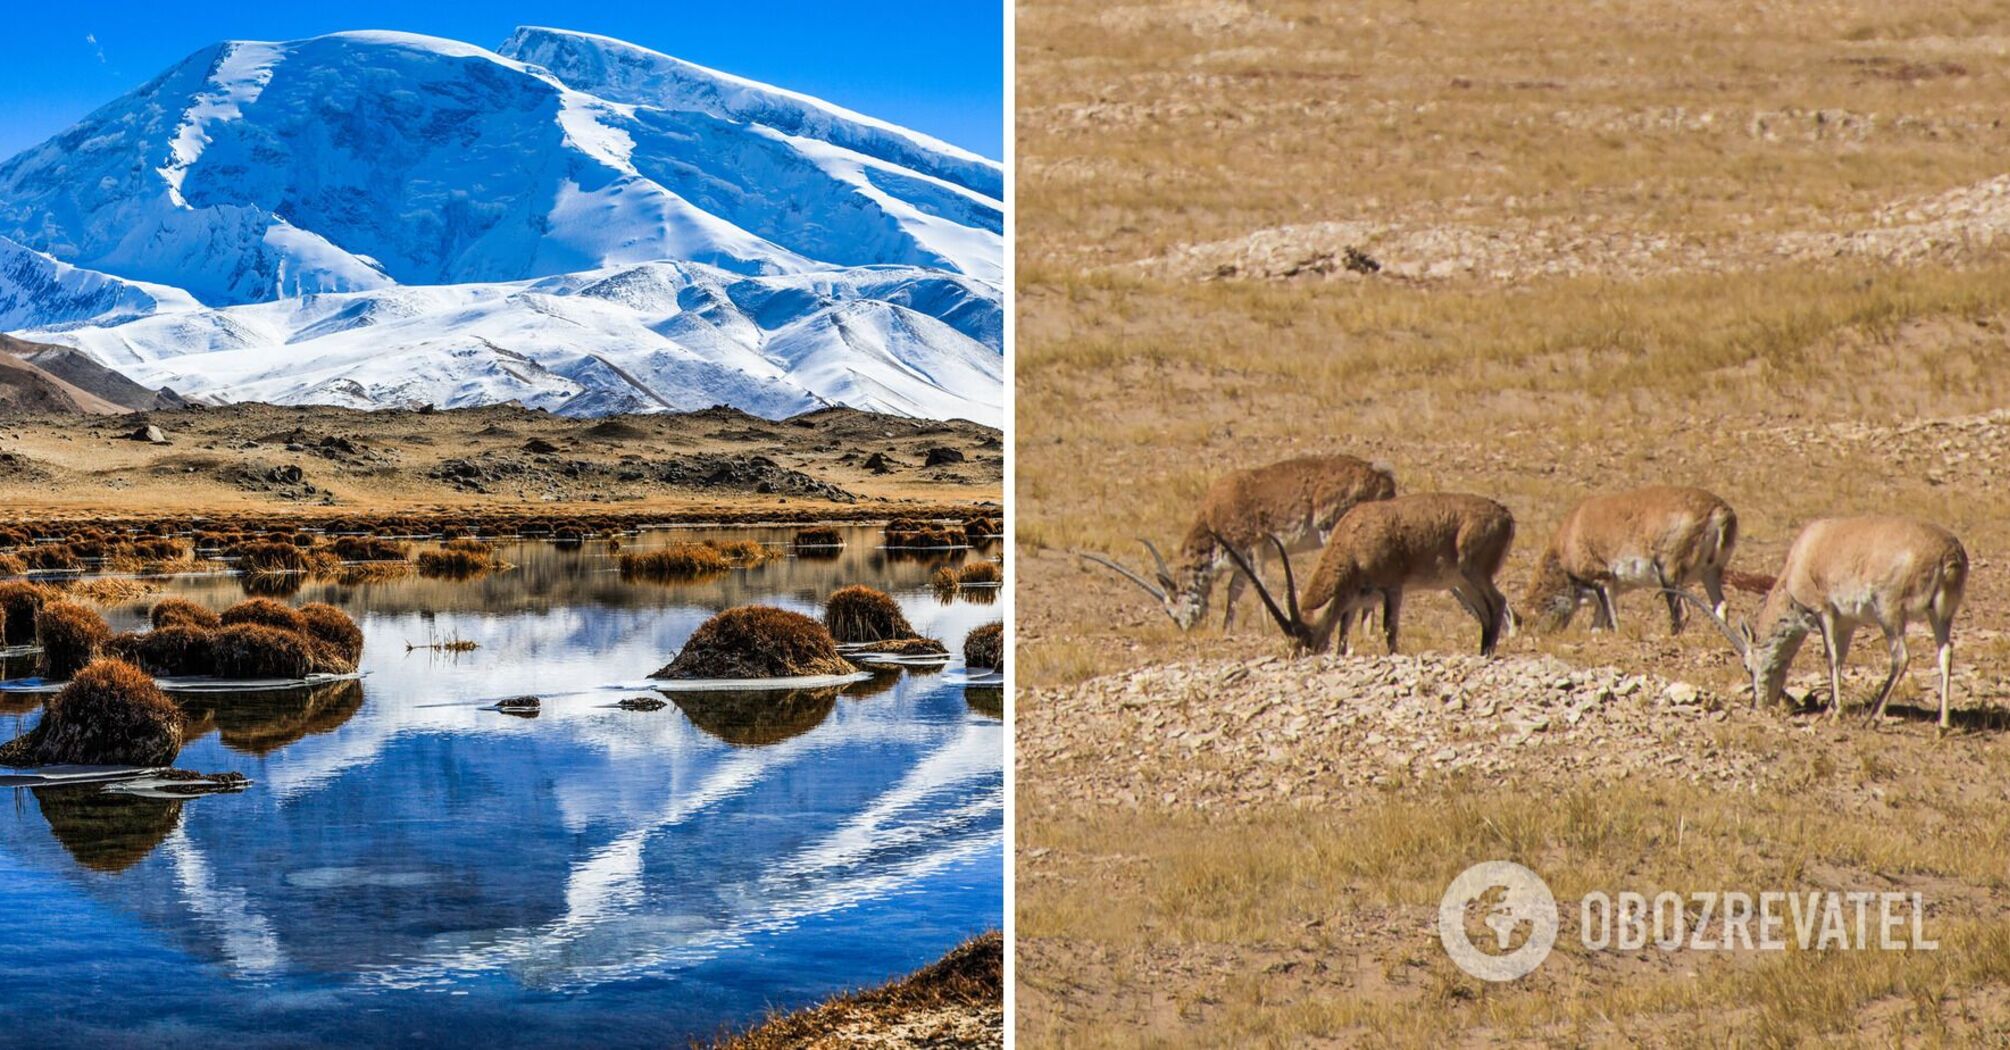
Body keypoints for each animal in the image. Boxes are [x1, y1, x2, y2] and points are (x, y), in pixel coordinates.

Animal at [1085, 450, 1398, 627]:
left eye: (1170, 612)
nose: (1188, 628)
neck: (1213, 516)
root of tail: (1382, 476)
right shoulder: (1239, 561)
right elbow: (1234, 592)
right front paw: (1227, 630)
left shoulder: (1257, 545)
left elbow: (1262, 585)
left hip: (1334, 530)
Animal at [1214, 492, 1511, 651]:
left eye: (1309, 639)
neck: (1353, 539)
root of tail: (1505, 515)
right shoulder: (1353, 602)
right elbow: (1343, 637)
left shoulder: (1393, 589)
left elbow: (1389, 629)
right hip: (1463, 583)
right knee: (1486, 612)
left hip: (1474, 574)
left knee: (1498, 603)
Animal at [1527, 482, 1736, 627]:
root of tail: (1719, 511)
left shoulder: (1601, 580)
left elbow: (1613, 624)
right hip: (1710, 573)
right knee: (1720, 606)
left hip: (1669, 575)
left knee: (1681, 613)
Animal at [1672, 514, 1969, 728]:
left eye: (1747, 665)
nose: (1760, 704)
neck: (1803, 555)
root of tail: (1949, 553)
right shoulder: (1847, 623)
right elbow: (1842, 658)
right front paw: (1829, 708)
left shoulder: (1823, 611)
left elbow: (1831, 656)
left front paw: (1834, 713)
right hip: (1940, 616)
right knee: (1946, 654)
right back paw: (1942, 724)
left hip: (1889, 612)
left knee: (1902, 657)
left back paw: (1873, 718)